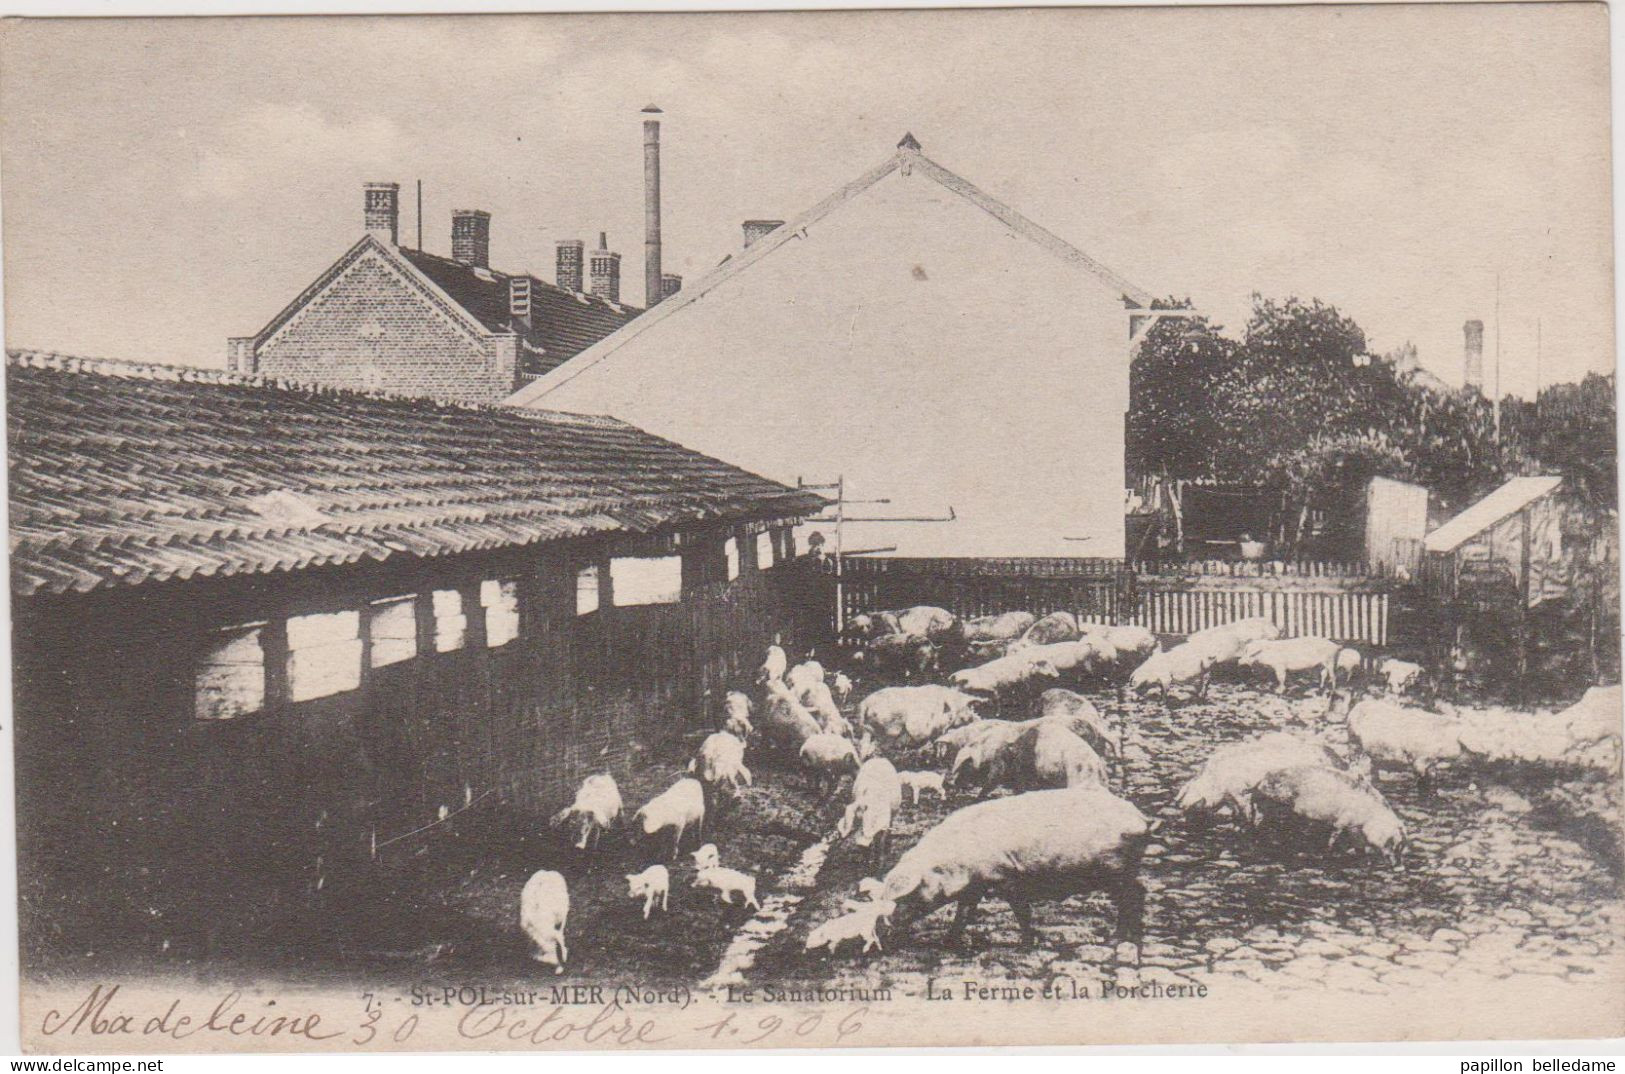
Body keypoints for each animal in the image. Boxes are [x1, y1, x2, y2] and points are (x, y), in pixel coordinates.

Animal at [877, 783, 1157, 942]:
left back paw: (1115, 939)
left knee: (1133, 893)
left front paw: (1029, 942)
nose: (883, 929)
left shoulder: (1005, 876)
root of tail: (1141, 819)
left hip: (1114, 869)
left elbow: (1021, 910)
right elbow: (963, 913)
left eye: (906, 895)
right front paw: (949, 942)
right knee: (1140, 890)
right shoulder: (976, 885)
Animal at [1248, 763, 1404, 864]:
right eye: (1394, 842)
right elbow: (1335, 834)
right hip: (1280, 806)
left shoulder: (1353, 826)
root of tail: (1260, 783)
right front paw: (1328, 852)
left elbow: (1356, 841)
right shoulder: (1343, 819)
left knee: (1256, 821)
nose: (1398, 867)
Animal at [1339, 692, 1469, 792]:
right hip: (1354, 741)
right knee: (1355, 760)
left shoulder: (1432, 762)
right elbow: (1420, 776)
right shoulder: (1420, 759)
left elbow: (1433, 776)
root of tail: (1355, 709)